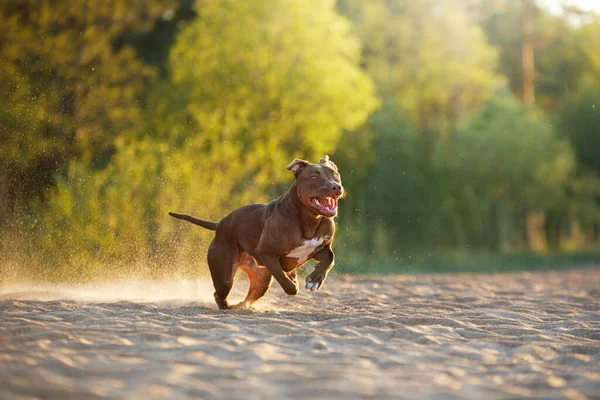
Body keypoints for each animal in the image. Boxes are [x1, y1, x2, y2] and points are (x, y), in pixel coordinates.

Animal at [169, 155, 342, 308]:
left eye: (336, 175)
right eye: (314, 176)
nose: (336, 186)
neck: (309, 219)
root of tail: (220, 225)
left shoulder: (320, 249)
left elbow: (330, 259)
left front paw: (315, 279)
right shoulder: (266, 252)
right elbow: (284, 279)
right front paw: (293, 282)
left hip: (261, 279)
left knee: (249, 297)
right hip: (224, 275)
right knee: (219, 293)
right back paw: (227, 306)